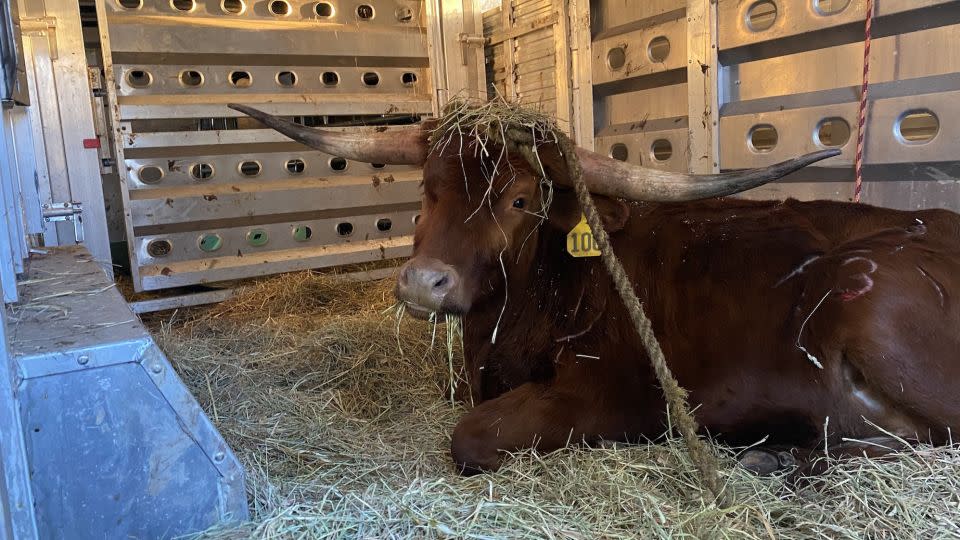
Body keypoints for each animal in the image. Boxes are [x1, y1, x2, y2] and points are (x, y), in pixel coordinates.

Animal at [232, 103, 960, 478]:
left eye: (520, 200)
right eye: (427, 190)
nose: (423, 283)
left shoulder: (609, 398)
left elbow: (469, 437)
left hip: (871, 311)